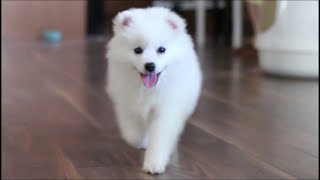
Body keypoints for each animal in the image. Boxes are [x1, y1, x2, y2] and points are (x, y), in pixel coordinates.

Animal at [106, 7, 201, 174]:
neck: (147, 89)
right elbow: (132, 132)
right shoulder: (127, 103)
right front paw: (139, 140)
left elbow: (160, 138)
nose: (150, 65)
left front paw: (154, 163)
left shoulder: (166, 110)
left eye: (161, 50)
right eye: (137, 50)